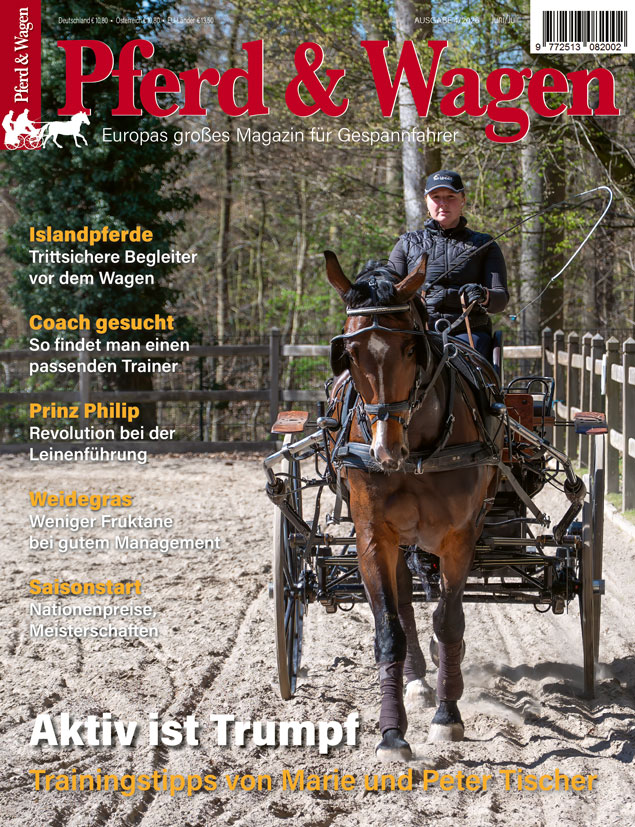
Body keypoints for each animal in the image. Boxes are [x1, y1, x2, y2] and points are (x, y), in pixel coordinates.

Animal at [324, 251, 504, 761]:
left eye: (410, 350)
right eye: (350, 354)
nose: (385, 452)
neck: (418, 448)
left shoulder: (460, 535)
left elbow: (448, 620)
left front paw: (448, 716)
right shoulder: (373, 535)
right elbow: (389, 629)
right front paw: (391, 733)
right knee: (404, 602)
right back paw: (417, 681)